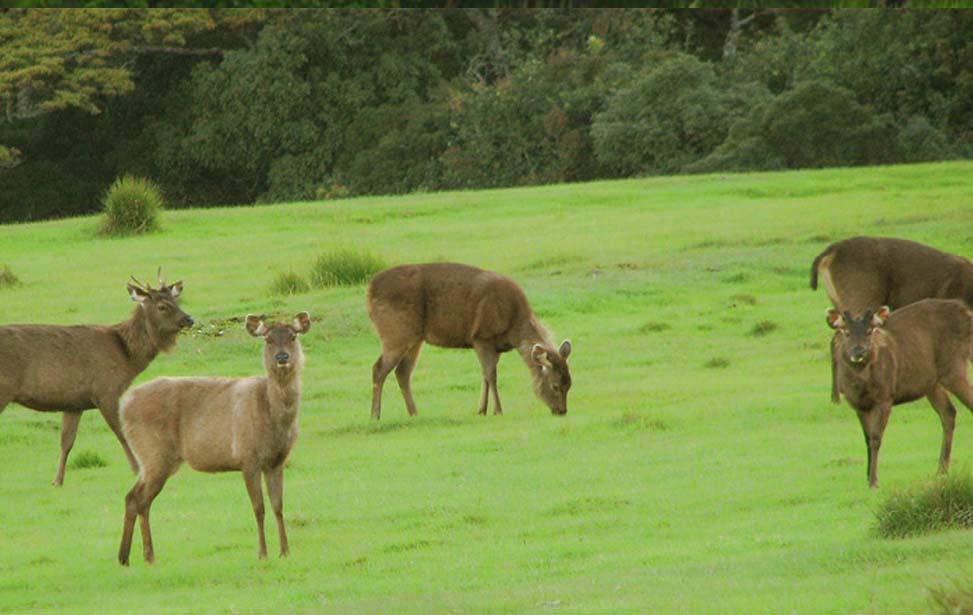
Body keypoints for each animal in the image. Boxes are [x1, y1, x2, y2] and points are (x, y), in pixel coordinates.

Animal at [0, 274, 192, 486]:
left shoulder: (74, 402)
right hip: (3, 390)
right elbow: (121, 431)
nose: (189, 319)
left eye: (177, 301)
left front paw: (57, 480)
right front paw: (136, 468)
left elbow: (67, 441)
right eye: (162, 306)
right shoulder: (106, 390)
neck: (127, 359)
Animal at [117, 312, 312, 568]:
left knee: (136, 498)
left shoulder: (277, 461)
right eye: (268, 339)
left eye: (292, 337)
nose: (282, 357)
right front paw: (262, 553)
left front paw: (285, 551)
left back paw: (132, 557)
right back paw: (140, 556)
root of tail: (124, 404)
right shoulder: (247, 457)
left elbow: (278, 506)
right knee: (138, 499)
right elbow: (258, 508)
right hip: (154, 453)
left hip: (155, 459)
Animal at [368, 262, 572, 422]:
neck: (513, 328)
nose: (562, 411)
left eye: (569, 383)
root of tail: (369, 291)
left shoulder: (495, 346)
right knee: (379, 368)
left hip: (415, 338)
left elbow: (484, 375)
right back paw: (375, 415)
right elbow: (491, 375)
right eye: (555, 386)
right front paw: (497, 410)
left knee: (402, 372)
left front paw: (481, 410)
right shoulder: (482, 336)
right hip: (395, 332)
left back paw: (414, 413)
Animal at [824, 300, 972, 488]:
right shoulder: (857, 404)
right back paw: (941, 470)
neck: (862, 386)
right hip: (931, 382)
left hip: (954, 366)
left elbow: (876, 438)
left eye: (869, 331)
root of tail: (967, 312)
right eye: (846, 332)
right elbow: (866, 438)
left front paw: (874, 481)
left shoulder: (885, 397)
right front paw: (867, 476)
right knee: (949, 412)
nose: (859, 351)